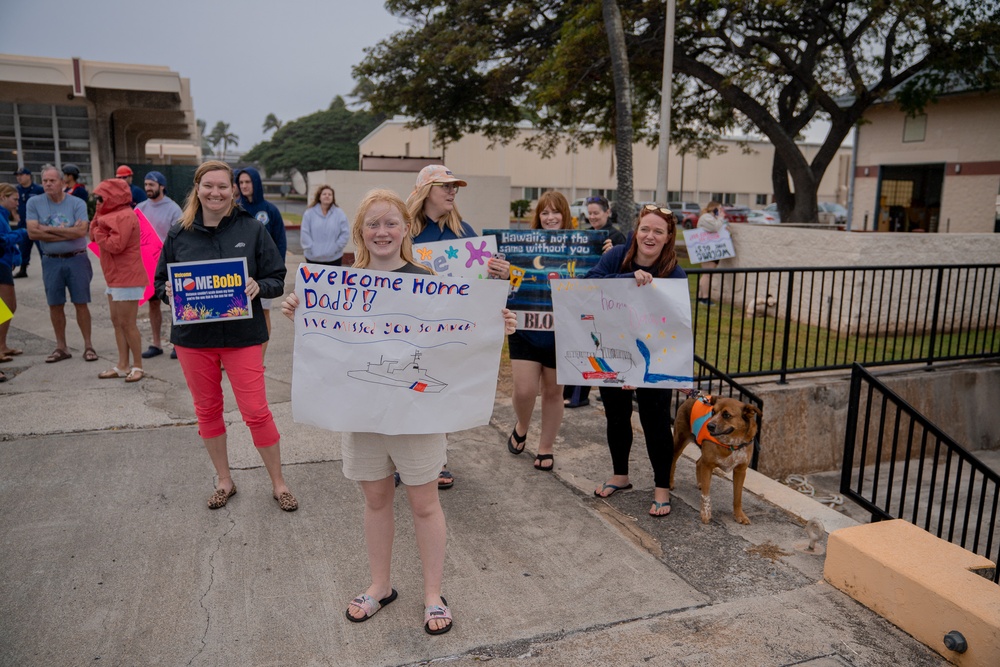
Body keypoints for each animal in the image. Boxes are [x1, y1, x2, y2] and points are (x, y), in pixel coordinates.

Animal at [672, 394, 764, 524]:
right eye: (713, 412)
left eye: (727, 415)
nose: (709, 426)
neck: (732, 443)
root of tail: (692, 397)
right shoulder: (708, 465)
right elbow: (706, 495)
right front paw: (705, 514)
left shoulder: (740, 471)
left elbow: (738, 497)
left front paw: (739, 515)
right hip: (680, 441)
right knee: (673, 461)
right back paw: (670, 483)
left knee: (698, 462)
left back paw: (700, 482)